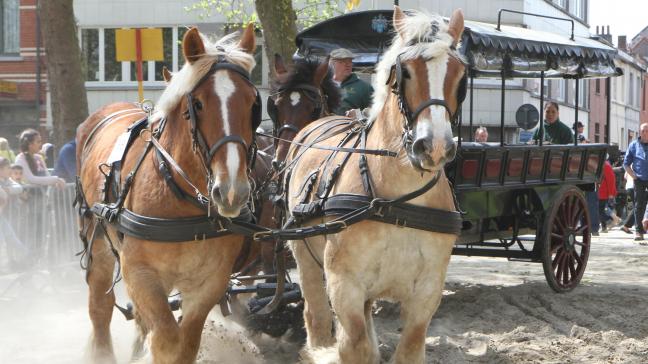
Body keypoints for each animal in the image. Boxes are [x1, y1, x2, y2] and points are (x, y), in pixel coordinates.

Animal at [76, 25, 258, 364]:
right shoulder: (141, 274)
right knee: (100, 310)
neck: (181, 198)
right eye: (197, 104)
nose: (232, 191)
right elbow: (166, 341)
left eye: (253, 103)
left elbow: (184, 344)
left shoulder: (210, 282)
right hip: (99, 244)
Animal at [288, 6, 466, 364]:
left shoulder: (428, 291)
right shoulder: (345, 285)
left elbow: (408, 348)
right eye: (405, 71)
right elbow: (354, 346)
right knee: (316, 318)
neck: (400, 202)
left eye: (459, 74)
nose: (435, 147)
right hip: (306, 259)